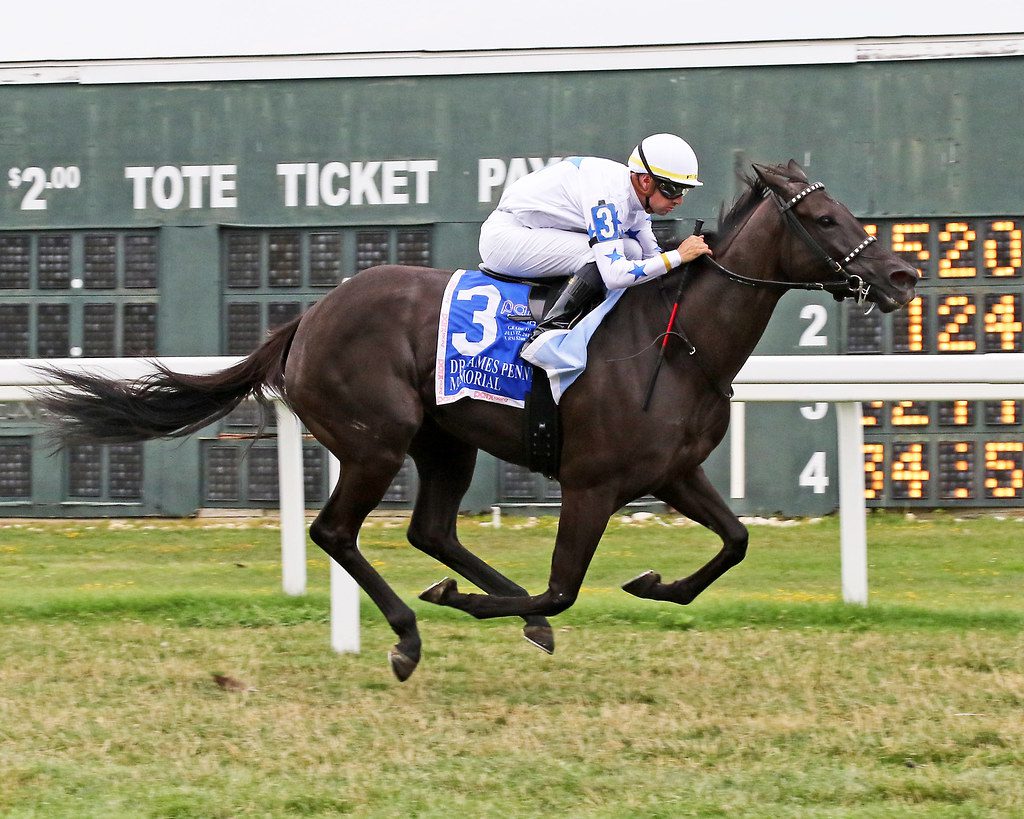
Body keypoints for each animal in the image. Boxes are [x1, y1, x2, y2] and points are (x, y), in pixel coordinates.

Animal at [39, 161, 921, 679]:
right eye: (828, 220)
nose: (903, 274)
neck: (677, 340)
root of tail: (309, 317)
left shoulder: (673, 471)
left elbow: (734, 541)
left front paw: (655, 581)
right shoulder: (592, 481)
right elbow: (564, 587)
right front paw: (468, 605)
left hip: (445, 442)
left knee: (432, 529)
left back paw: (489, 604)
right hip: (376, 439)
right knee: (337, 531)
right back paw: (410, 631)